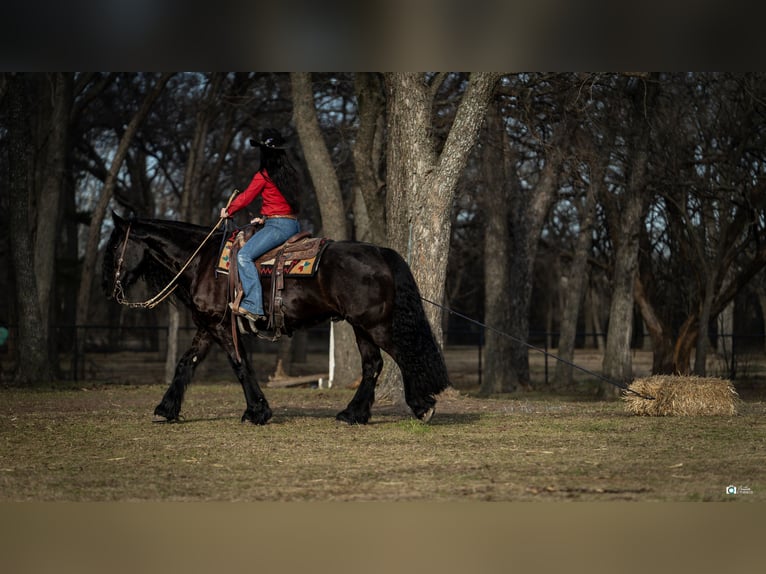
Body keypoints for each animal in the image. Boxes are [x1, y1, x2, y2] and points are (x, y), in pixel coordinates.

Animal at [102, 214, 450, 426]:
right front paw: (165, 410)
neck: (203, 261)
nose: (109, 287)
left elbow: (240, 365)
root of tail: (380, 252)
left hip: (374, 325)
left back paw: (422, 406)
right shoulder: (208, 327)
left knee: (404, 356)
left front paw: (257, 411)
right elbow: (186, 364)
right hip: (360, 326)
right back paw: (353, 413)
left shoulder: (221, 326)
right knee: (372, 365)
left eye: (116, 244)